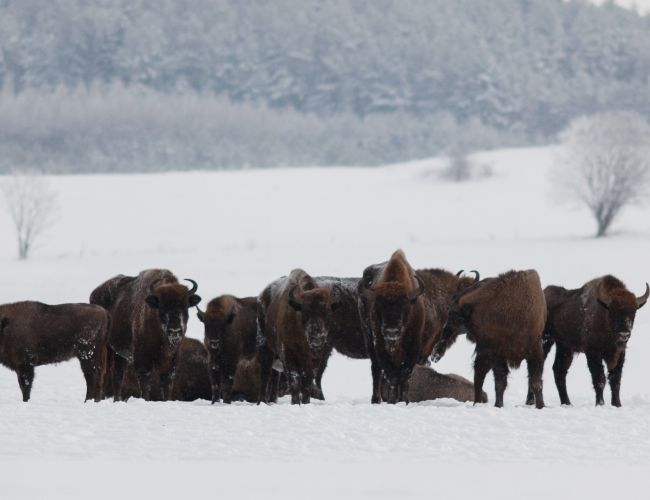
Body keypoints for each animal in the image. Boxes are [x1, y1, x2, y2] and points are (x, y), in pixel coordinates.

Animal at [89, 270, 200, 402]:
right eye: (162, 307)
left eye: (186, 307)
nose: (175, 331)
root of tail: (94, 293)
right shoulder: (143, 360)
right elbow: (145, 384)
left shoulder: (171, 362)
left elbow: (167, 384)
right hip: (106, 349)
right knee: (106, 374)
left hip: (119, 354)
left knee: (117, 375)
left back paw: (116, 400)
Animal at [256, 268, 342, 404]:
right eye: (305, 311)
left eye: (327, 312)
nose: (316, 335)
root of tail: (261, 297)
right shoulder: (288, 355)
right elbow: (295, 379)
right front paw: (296, 402)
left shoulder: (315, 359)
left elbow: (307, 380)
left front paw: (306, 401)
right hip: (265, 349)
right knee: (265, 376)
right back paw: (262, 402)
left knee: (274, 377)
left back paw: (272, 401)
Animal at [354, 248, 426, 404]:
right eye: (379, 306)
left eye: (404, 306)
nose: (391, 331)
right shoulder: (379, 343)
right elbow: (391, 375)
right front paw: (393, 400)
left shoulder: (414, 345)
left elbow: (405, 375)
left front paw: (404, 400)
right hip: (369, 340)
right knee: (376, 370)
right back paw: (376, 399)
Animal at [430, 272, 548, 408]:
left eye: (455, 315)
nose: (448, 324)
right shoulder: (496, 354)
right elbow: (500, 383)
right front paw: (498, 405)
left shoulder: (535, 352)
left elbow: (536, 383)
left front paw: (541, 406)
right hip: (484, 352)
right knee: (479, 377)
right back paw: (476, 403)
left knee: (479, 376)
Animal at [540, 276, 644, 408]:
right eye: (613, 311)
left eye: (633, 311)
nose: (624, 334)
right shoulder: (593, 353)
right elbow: (599, 378)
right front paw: (600, 404)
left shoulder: (620, 354)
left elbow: (615, 380)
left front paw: (617, 404)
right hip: (546, 341)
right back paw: (531, 401)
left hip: (565, 348)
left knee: (559, 370)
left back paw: (567, 403)